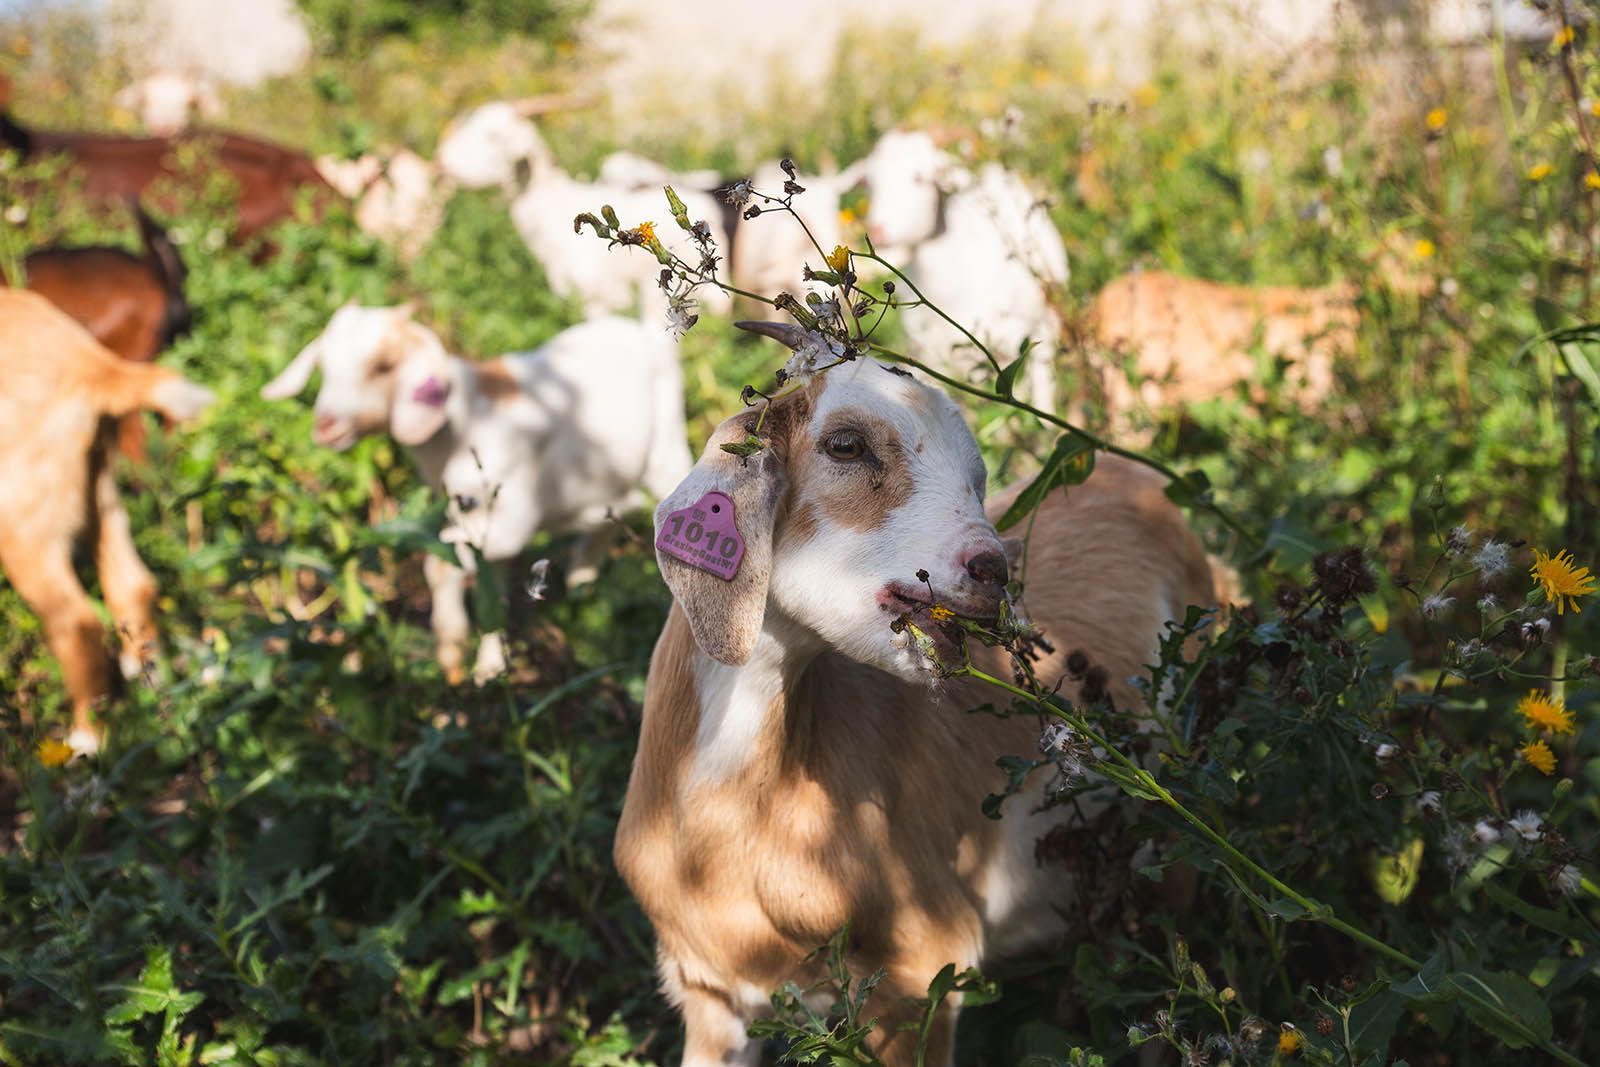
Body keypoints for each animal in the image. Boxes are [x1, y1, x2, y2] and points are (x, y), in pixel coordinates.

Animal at [0, 290, 214, 754]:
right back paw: (149, 679)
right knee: (132, 584)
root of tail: (90, 363)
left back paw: (87, 739)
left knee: (79, 623)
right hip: (98, 497)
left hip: (22, 529)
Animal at [260, 303, 693, 683]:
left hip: (668, 445)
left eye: (384, 366)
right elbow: (491, 592)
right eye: (324, 365)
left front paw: (457, 655)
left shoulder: (507, 519)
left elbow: (441, 564)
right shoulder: (472, 522)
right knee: (614, 513)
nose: (325, 426)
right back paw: (581, 583)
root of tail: (644, 330)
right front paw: (484, 669)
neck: (463, 422)